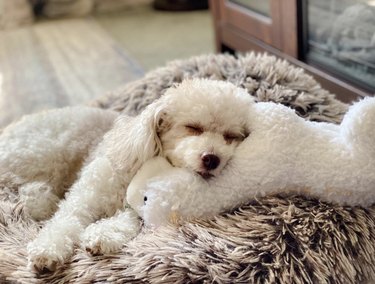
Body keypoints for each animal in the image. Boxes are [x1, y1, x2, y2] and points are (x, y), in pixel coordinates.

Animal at [0, 79, 254, 272]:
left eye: (231, 136)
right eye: (192, 127)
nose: (212, 158)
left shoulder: (138, 210)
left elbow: (126, 222)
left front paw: (102, 236)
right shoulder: (86, 196)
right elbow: (65, 221)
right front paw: (47, 250)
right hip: (41, 156)